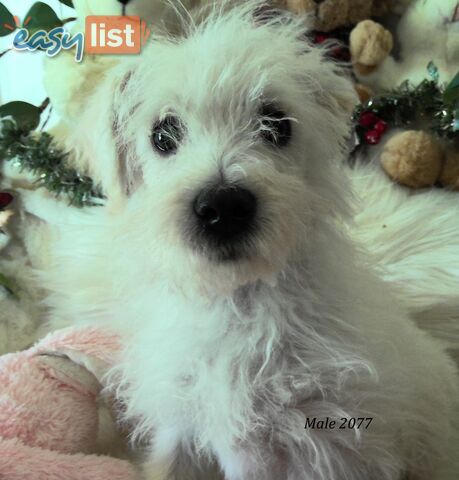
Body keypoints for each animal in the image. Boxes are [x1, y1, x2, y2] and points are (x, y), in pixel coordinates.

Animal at [27, 0, 459, 480]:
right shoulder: (182, 424)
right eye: (162, 134)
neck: (237, 304)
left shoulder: (329, 445)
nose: (223, 208)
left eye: (277, 124)